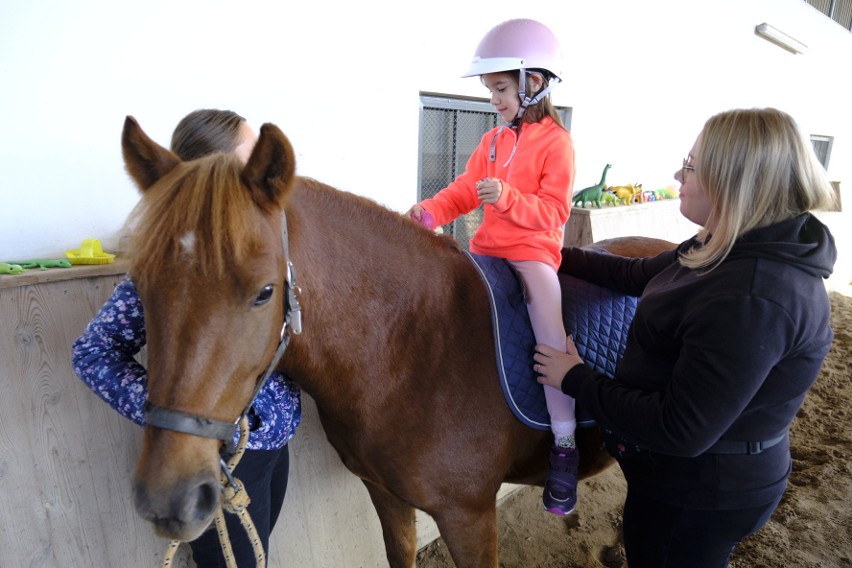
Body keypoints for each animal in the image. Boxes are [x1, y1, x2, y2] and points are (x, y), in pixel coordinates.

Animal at [121, 116, 672, 568]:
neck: (413, 347)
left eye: (264, 292)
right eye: (140, 284)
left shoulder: (469, 516)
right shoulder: (385, 494)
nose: (169, 499)